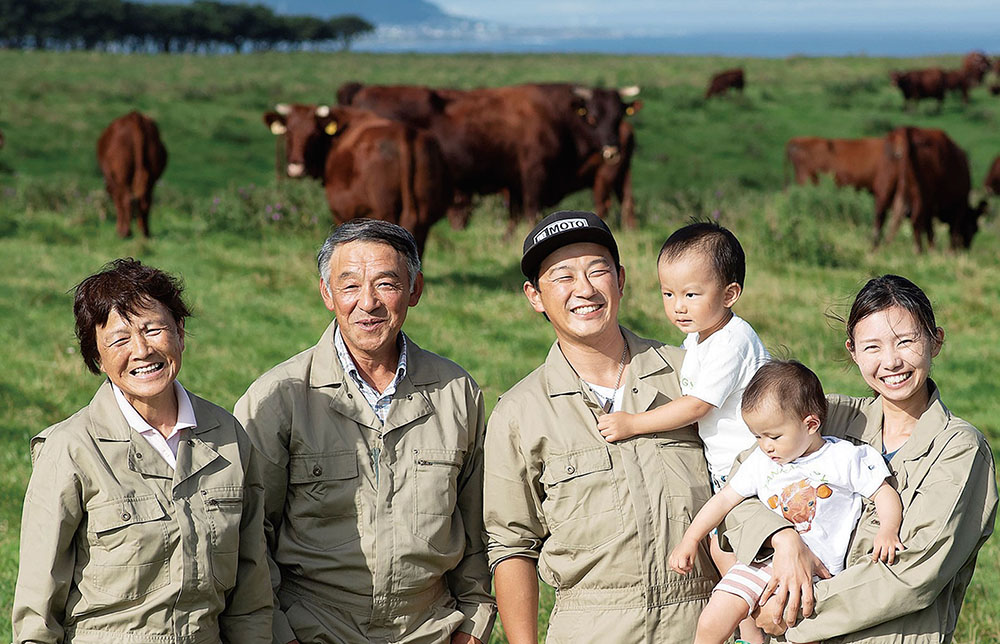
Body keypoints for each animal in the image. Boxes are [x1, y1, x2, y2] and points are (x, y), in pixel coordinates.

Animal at [96, 110, 167, 239]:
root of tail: (135, 117)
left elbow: (118, 202)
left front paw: (119, 229)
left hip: (124, 177)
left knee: (127, 200)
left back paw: (125, 232)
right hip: (151, 178)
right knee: (145, 201)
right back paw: (145, 233)